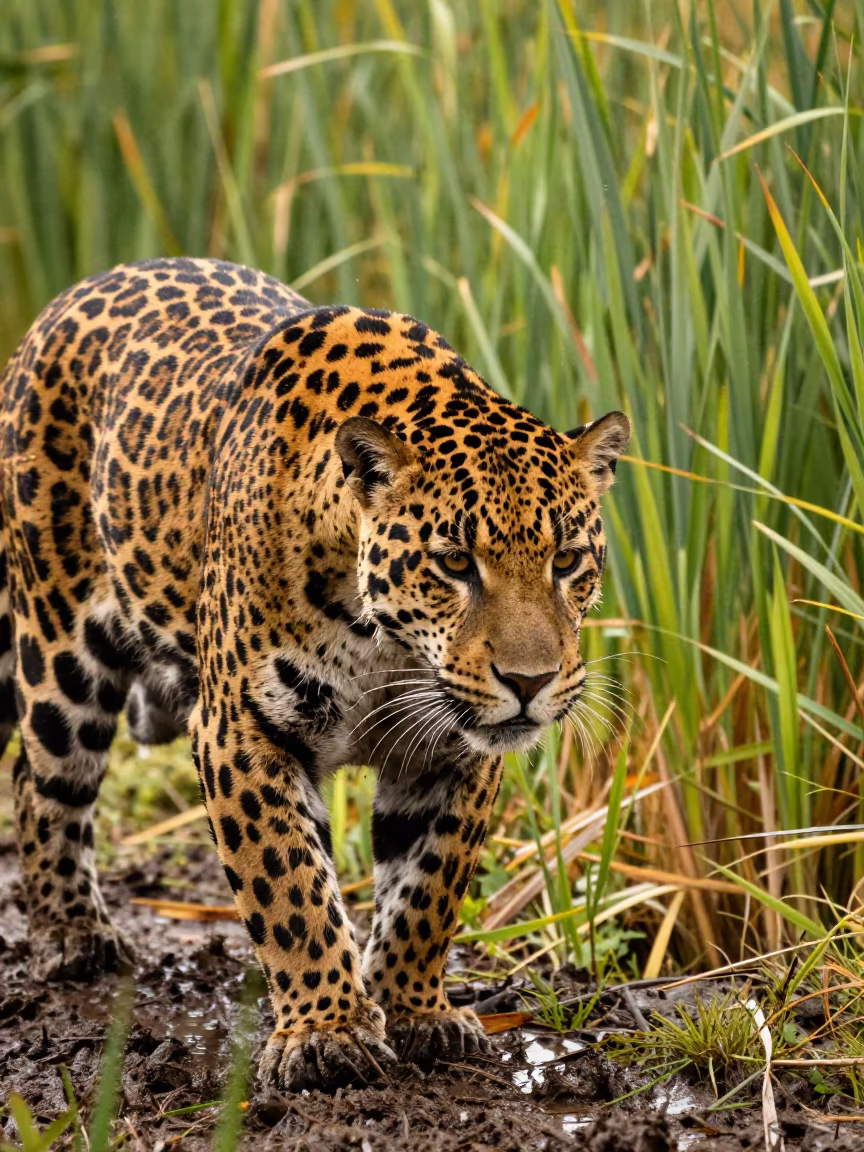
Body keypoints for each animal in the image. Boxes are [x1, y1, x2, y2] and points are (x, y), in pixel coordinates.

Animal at [0, 257, 630, 1091]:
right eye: (455, 563)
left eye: (567, 561)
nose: (529, 682)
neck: (386, 643)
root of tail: (81, 288)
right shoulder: (241, 731)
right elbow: (290, 885)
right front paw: (326, 1033)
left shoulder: (455, 754)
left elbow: (428, 888)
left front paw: (415, 1010)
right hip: (60, 646)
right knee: (42, 778)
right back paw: (74, 936)